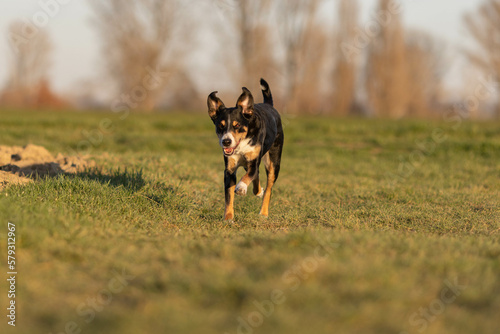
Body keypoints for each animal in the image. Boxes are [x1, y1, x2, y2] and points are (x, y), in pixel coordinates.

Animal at [208, 77, 286, 220]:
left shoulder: (253, 162)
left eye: (237, 125)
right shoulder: (229, 169)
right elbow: (229, 196)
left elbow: (247, 177)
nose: (226, 142)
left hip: (274, 163)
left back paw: (263, 213)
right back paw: (258, 192)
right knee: (257, 178)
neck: (241, 146)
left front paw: (241, 187)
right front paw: (228, 218)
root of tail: (269, 105)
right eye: (220, 126)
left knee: (269, 188)